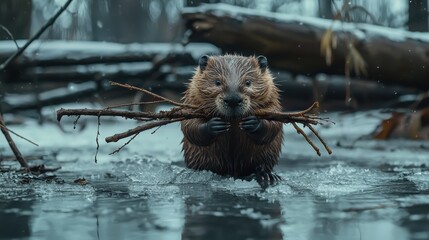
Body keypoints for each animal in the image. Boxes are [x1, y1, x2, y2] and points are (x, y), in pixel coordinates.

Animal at [180, 54, 282, 188]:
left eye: (248, 82)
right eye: (217, 82)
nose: (233, 100)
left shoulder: (272, 97)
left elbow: (275, 122)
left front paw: (252, 123)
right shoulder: (192, 97)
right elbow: (189, 124)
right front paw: (215, 125)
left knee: (261, 166)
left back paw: (268, 176)